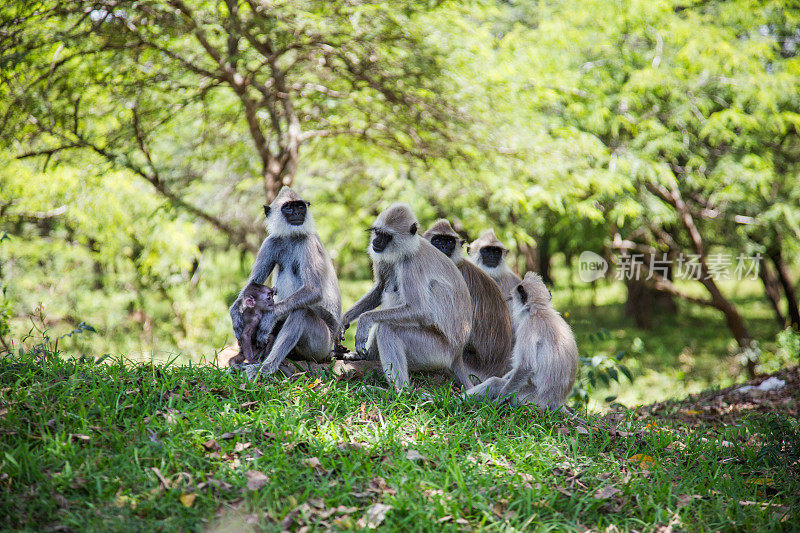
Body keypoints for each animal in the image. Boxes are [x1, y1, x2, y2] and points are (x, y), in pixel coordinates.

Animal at [466, 272, 580, 410]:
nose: (509, 297)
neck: (539, 309)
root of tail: (555, 403)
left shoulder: (527, 327)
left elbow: (526, 366)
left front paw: (499, 399)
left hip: (529, 398)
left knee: (495, 383)